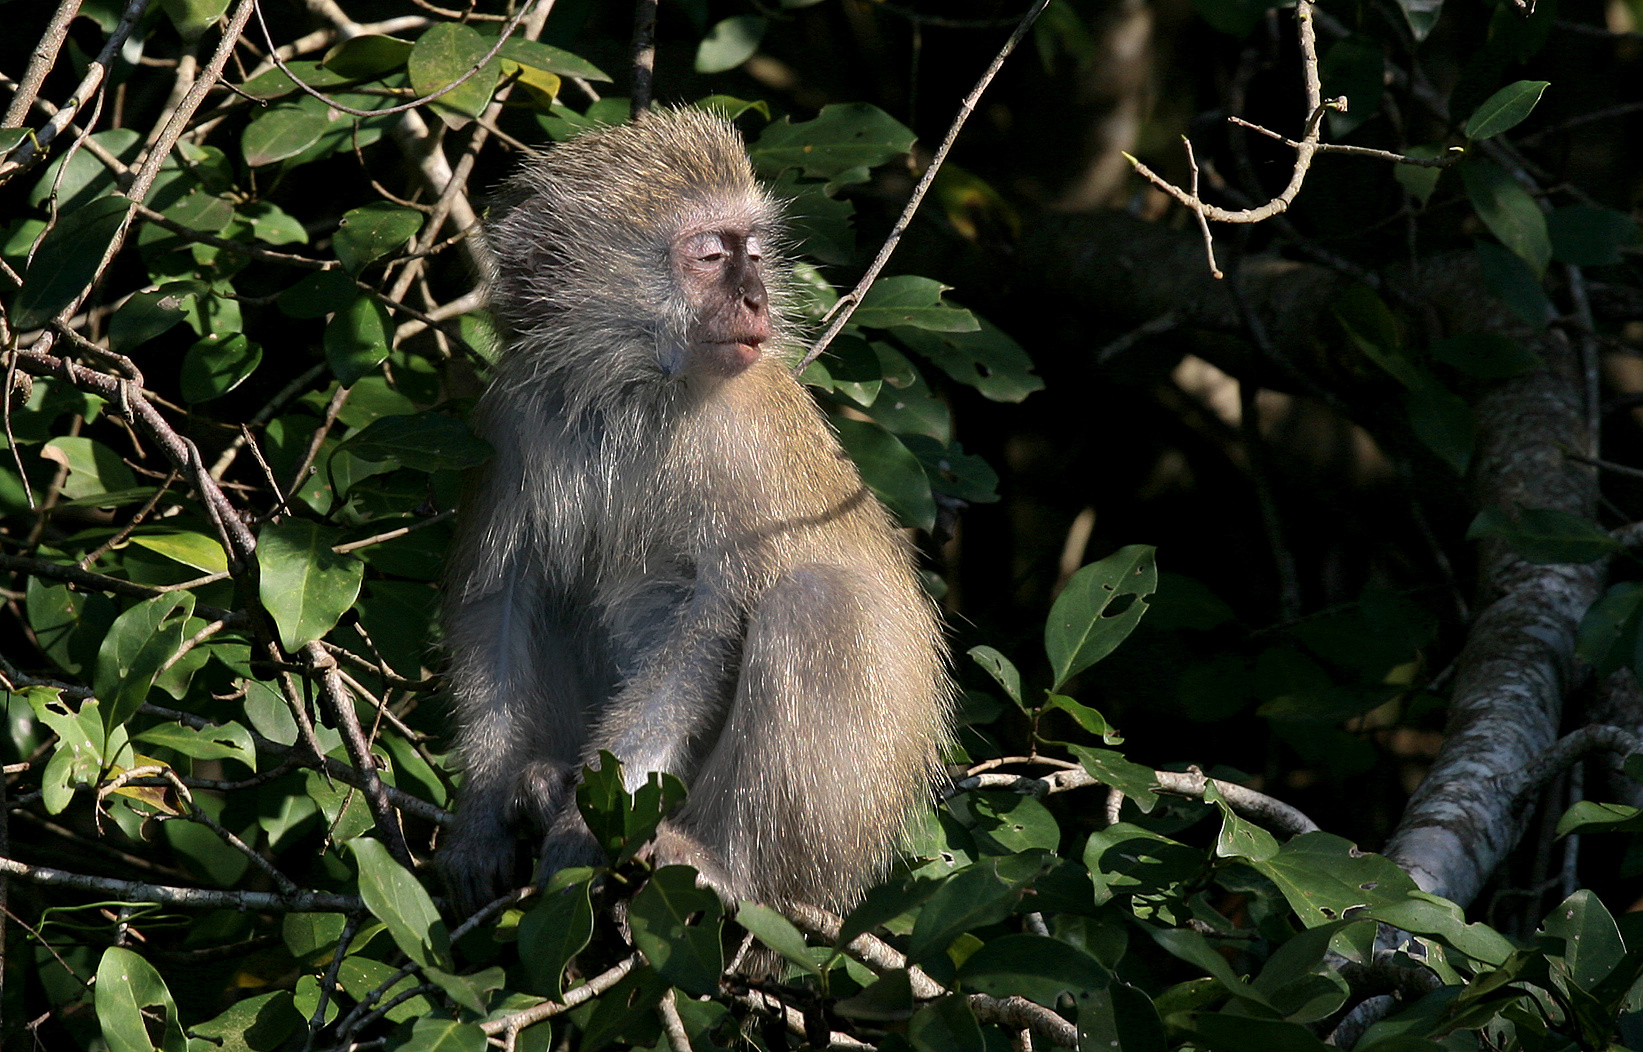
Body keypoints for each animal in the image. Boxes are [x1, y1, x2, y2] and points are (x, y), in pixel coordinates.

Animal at [440, 102, 952, 913]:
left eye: (753, 252)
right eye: (711, 254)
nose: (757, 299)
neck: (632, 389)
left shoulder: (739, 443)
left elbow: (709, 617)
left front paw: (584, 824)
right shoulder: (510, 419)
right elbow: (501, 595)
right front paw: (481, 819)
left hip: (843, 824)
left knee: (815, 602)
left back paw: (727, 863)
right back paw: (541, 780)